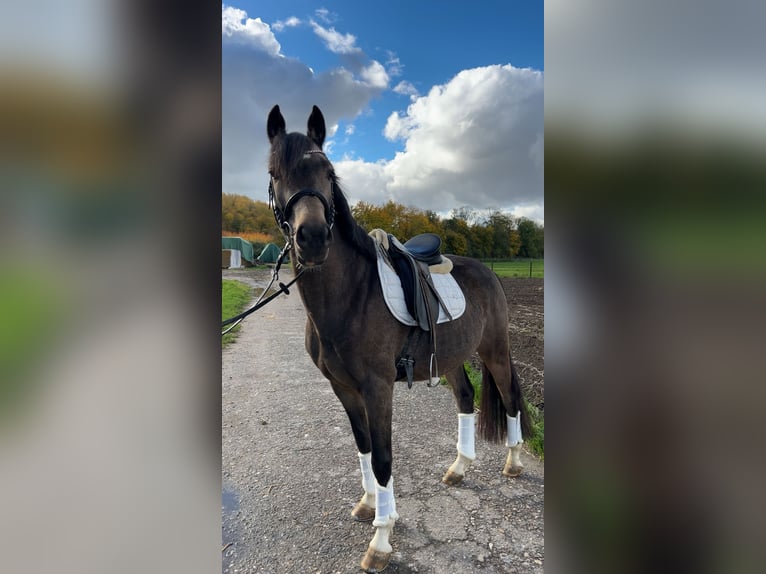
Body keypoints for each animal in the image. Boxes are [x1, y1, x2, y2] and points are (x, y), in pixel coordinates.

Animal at [265, 105, 531, 572]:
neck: (350, 295)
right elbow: (364, 448)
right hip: (451, 357)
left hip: (496, 351)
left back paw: (513, 462)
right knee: (466, 399)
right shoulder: (343, 388)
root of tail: (487, 271)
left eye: (328, 172)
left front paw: (382, 539)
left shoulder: (378, 388)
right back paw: (459, 468)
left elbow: (384, 457)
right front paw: (370, 505)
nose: (312, 238)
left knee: (511, 397)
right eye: (274, 171)